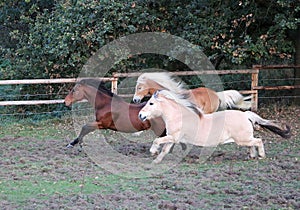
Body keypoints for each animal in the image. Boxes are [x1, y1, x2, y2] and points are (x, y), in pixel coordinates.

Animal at [138, 89, 290, 163]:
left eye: (151, 103)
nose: (140, 115)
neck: (179, 116)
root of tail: (245, 115)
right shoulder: (172, 138)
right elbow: (164, 149)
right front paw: (156, 160)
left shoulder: (173, 137)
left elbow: (157, 141)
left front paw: (152, 151)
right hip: (244, 139)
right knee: (252, 144)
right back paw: (251, 156)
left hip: (242, 139)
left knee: (258, 141)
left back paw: (261, 156)